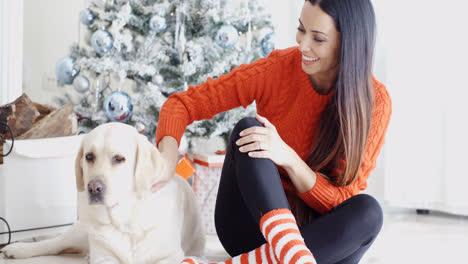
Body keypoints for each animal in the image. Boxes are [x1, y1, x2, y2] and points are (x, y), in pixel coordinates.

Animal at [0, 122, 205, 262]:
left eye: (119, 158)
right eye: (89, 156)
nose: (93, 188)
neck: (125, 220)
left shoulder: (170, 256)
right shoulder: (104, 255)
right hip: (82, 229)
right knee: (54, 243)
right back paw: (17, 249)